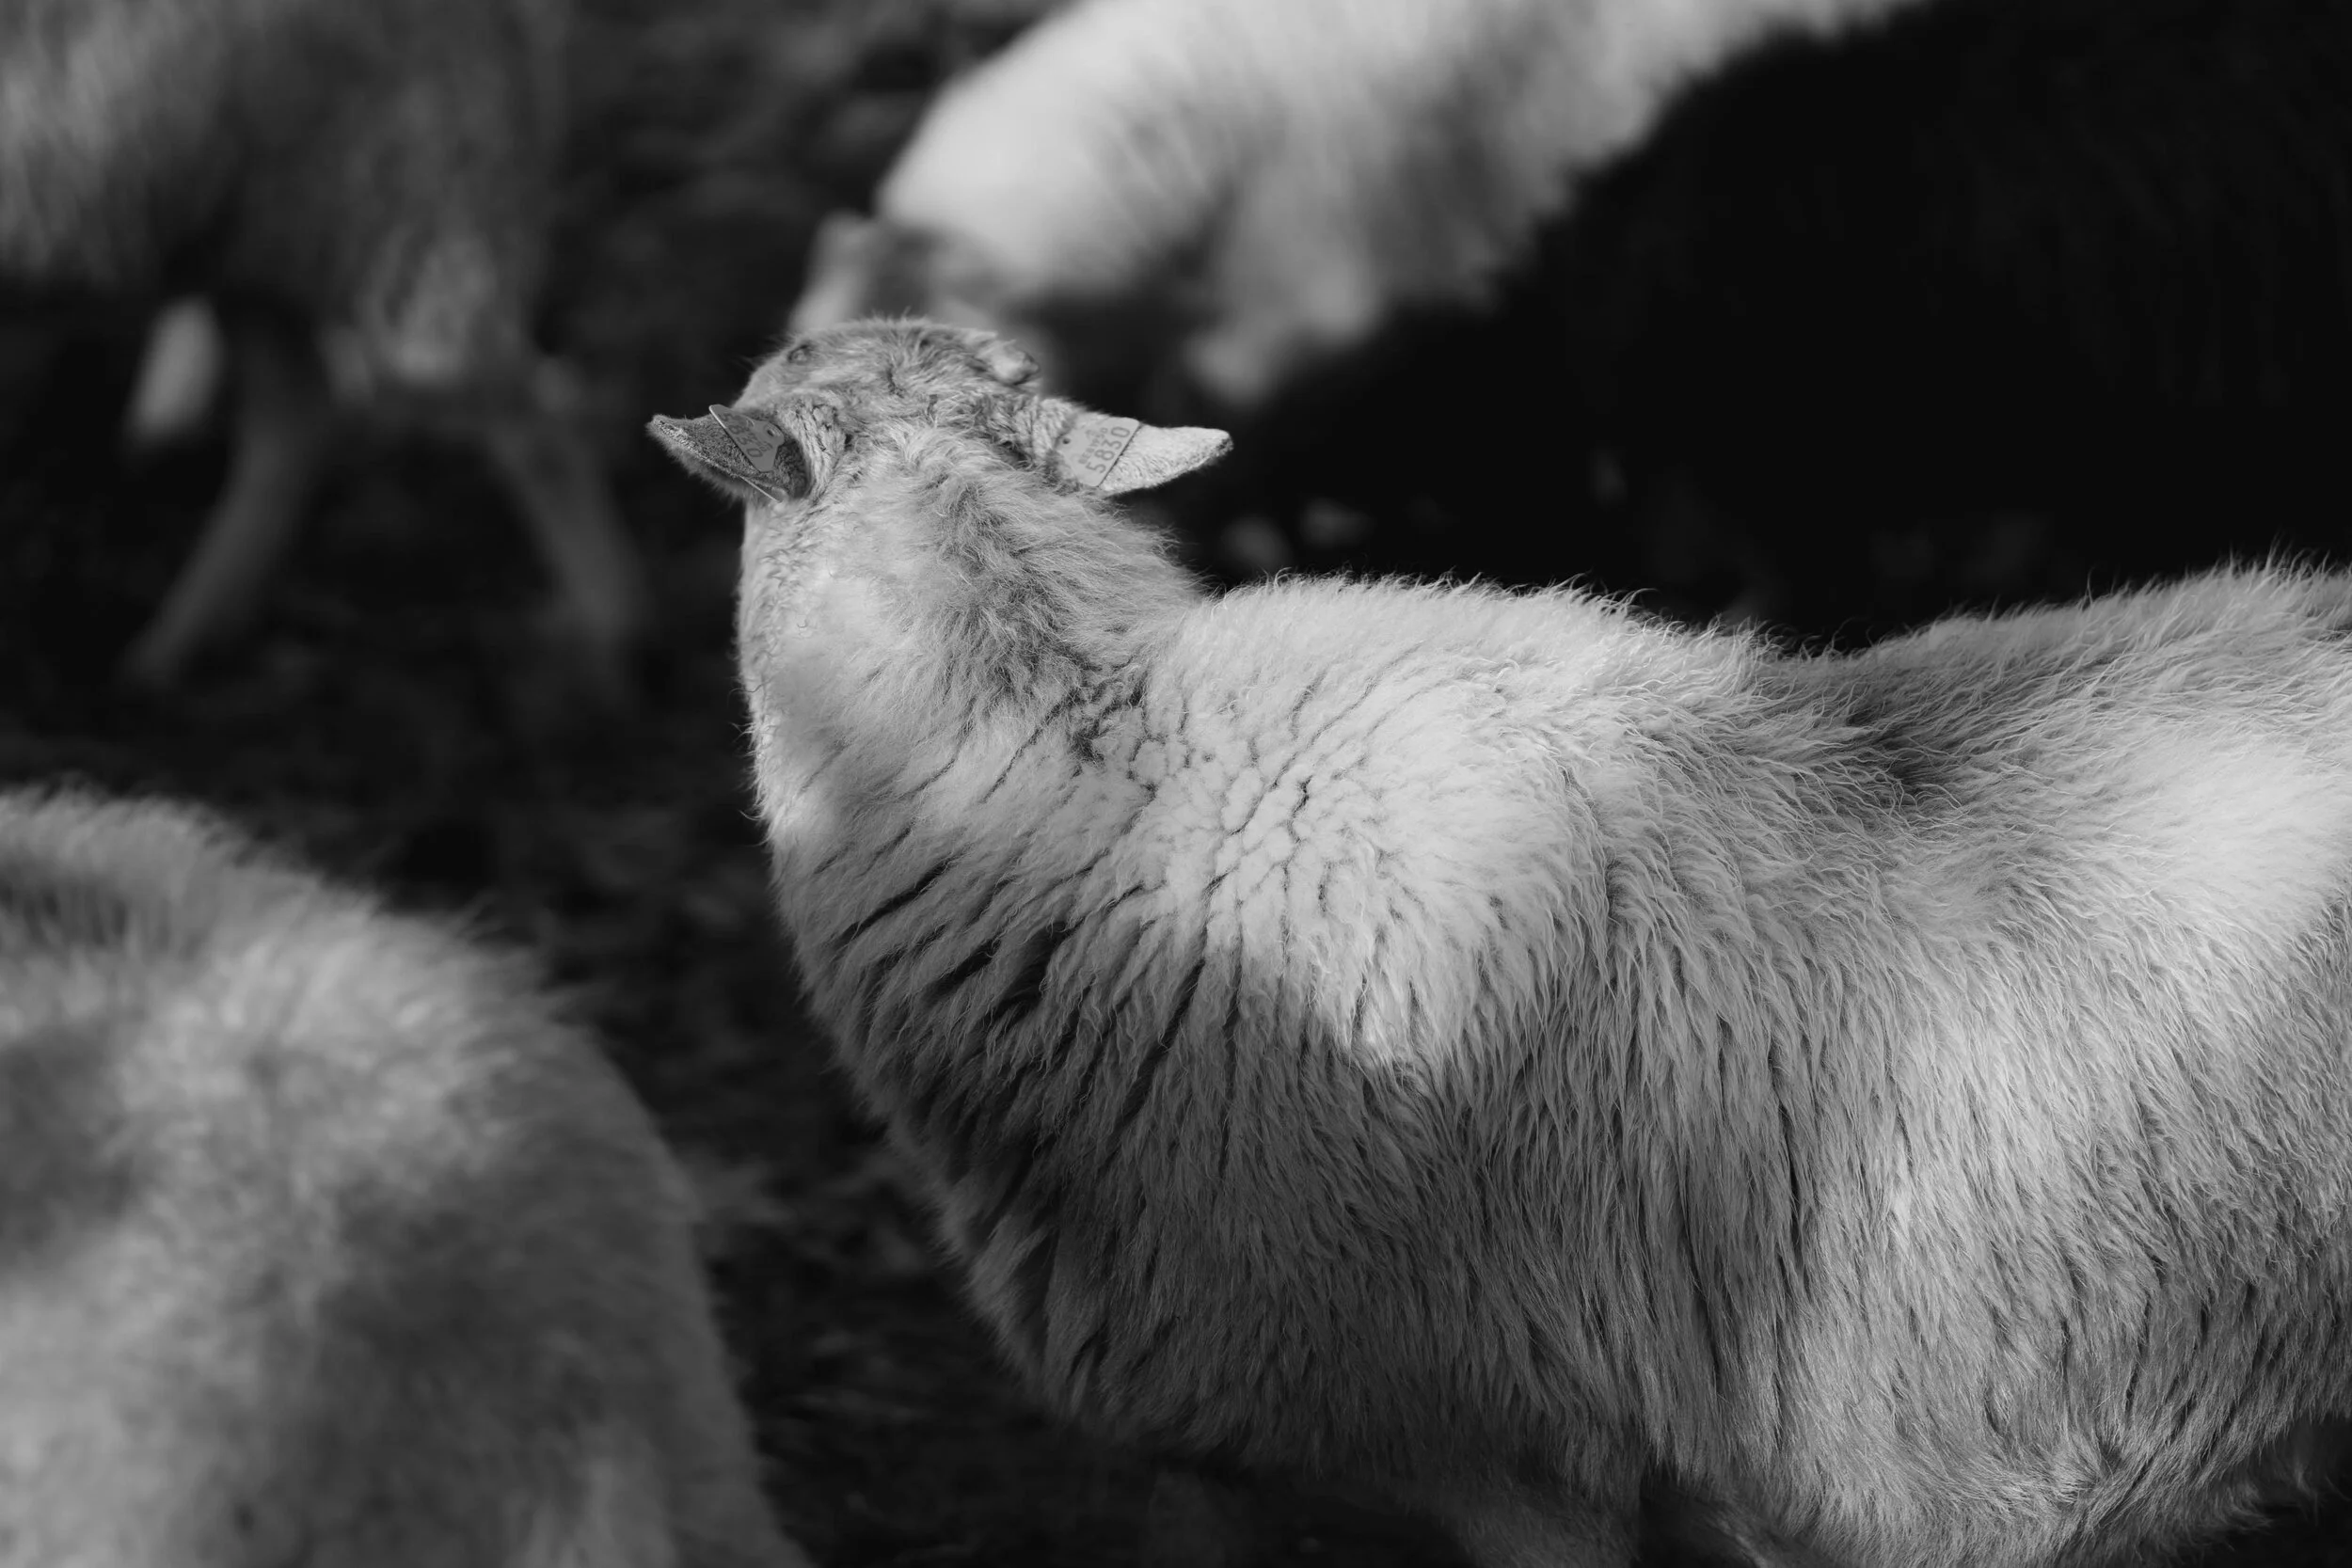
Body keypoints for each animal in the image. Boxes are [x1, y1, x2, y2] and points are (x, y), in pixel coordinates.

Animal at [0, 0, 646, 690]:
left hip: (409, 221)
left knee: (540, 420)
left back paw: (611, 640)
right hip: (251, 251)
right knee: (294, 424)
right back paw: (173, 648)